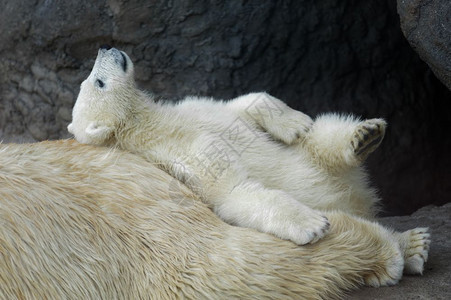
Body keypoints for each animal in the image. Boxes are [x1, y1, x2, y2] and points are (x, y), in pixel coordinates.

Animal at [68, 45, 396, 246]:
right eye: (98, 82)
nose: (105, 48)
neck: (152, 123)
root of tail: (361, 197)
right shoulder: (184, 154)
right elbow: (233, 191)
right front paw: (314, 225)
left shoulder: (197, 110)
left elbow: (246, 103)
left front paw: (295, 124)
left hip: (313, 153)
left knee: (324, 135)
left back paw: (365, 135)